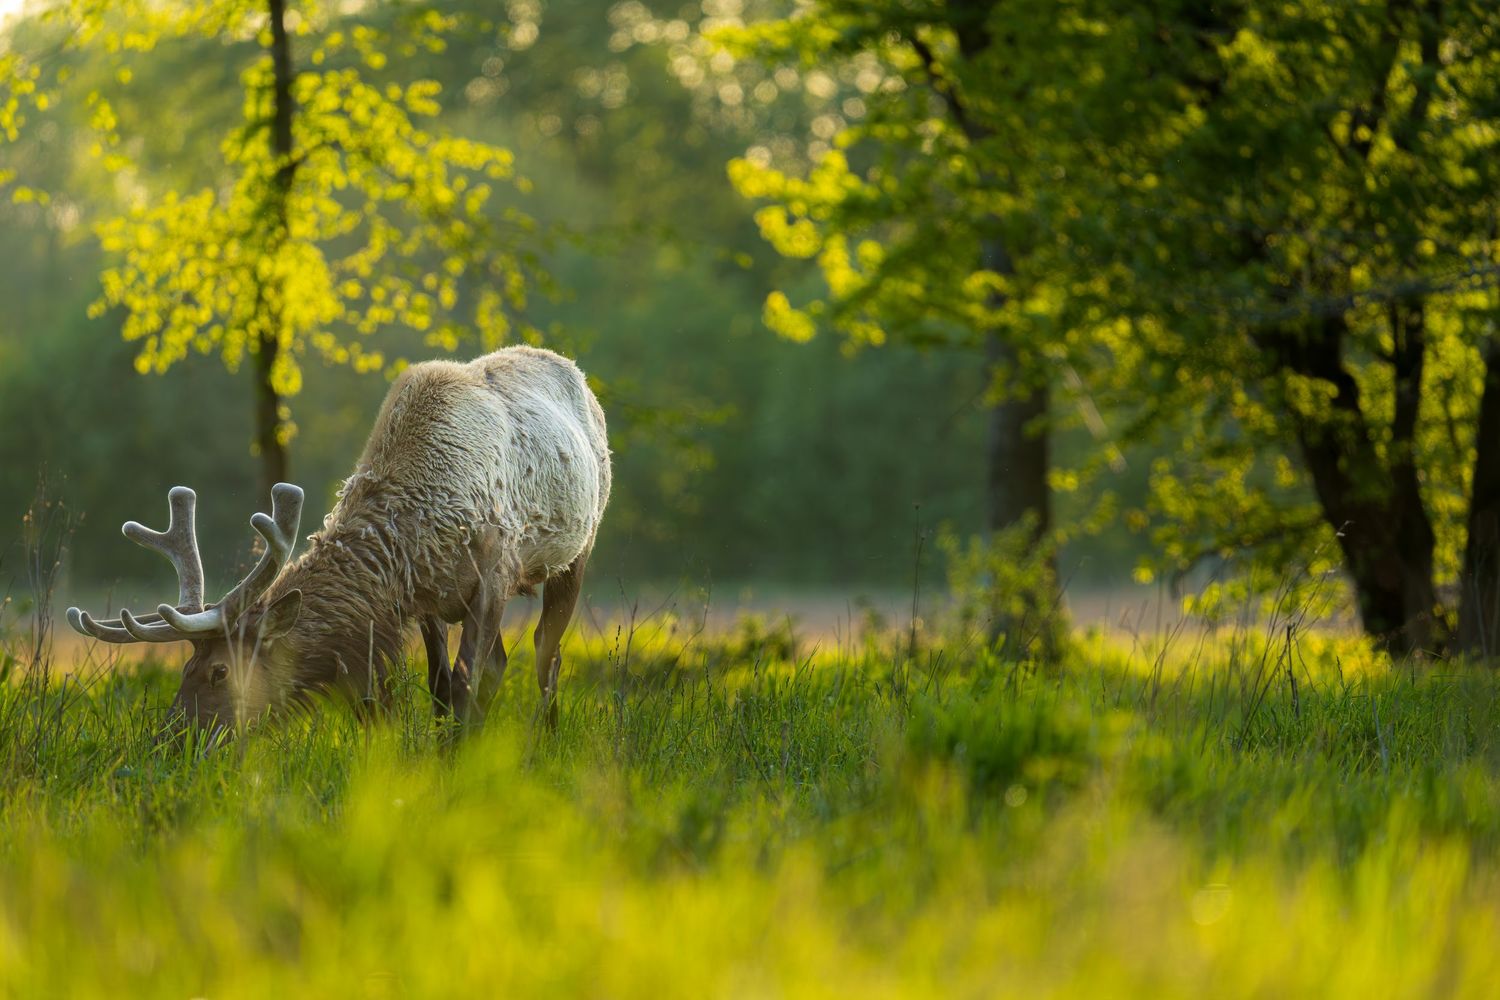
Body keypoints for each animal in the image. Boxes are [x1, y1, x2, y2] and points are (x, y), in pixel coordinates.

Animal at [67, 346, 611, 734]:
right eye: (185, 668)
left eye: (220, 671)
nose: (171, 739)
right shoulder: (427, 599)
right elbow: (441, 685)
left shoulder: (494, 575)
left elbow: (466, 682)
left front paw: (455, 765)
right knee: (504, 662)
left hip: (578, 550)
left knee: (547, 651)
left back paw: (546, 739)